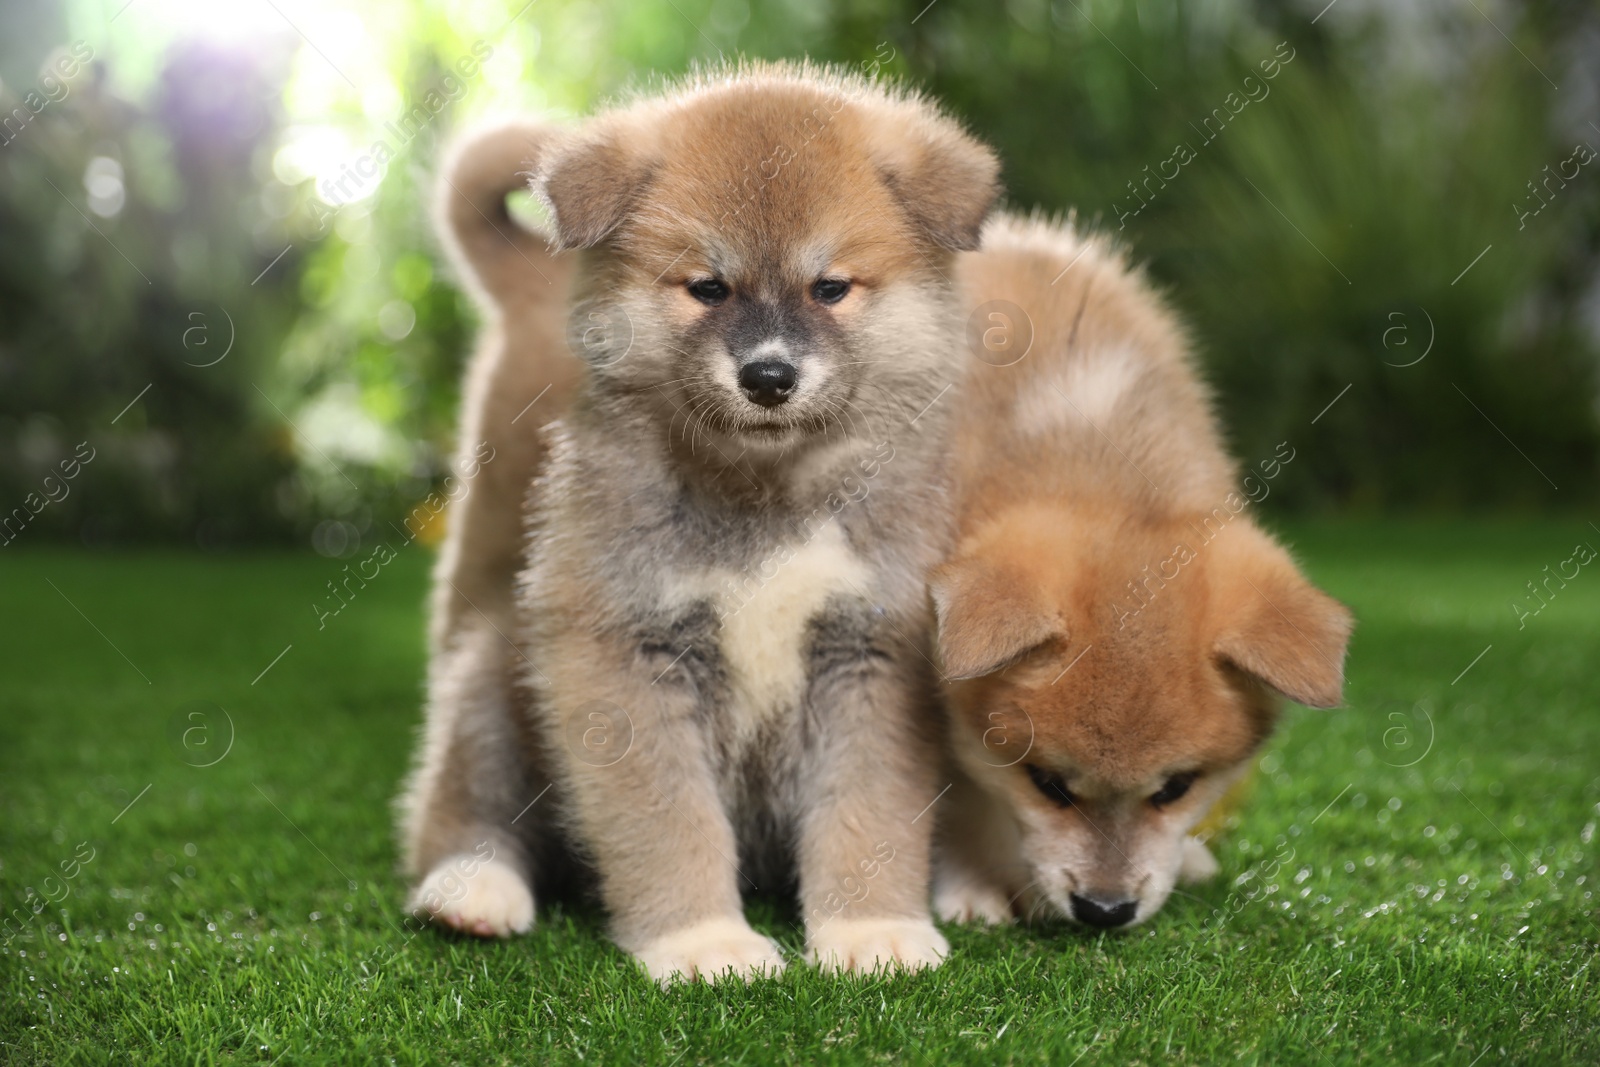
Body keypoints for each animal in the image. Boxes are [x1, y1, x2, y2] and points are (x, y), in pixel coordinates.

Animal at [505, 62, 992, 985]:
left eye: (830, 288)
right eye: (708, 287)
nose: (768, 376)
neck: (767, 505)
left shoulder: (871, 653)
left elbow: (868, 814)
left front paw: (870, 928)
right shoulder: (627, 659)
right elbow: (670, 825)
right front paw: (703, 942)